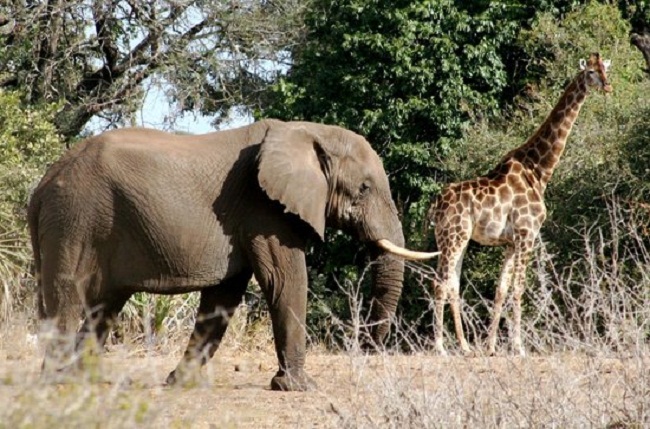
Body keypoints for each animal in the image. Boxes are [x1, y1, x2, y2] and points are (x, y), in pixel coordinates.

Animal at [28, 119, 437, 391]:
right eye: (364, 188)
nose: (366, 348)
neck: (308, 132)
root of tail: (42, 185)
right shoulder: (265, 210)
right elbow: (285, 280)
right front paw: (298, 387)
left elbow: (224, 296)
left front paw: (180, 383)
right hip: (75, 219)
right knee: (68, 298)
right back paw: (55, 383)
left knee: (104, 306)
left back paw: (84, 380)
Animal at [427, 53, 612, 357]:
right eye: (590, 72)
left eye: (605, 69)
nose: (608, 87)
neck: (539, 170)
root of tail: (435, 206)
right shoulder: (527, 234)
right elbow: (519, 288)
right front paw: (518, 346)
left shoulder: (511, 242)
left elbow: (501, 288)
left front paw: (491, 347)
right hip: (453, 236)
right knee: (439, 282)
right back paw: (440, 347)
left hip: (457, 239)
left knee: (453, 282)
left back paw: (465, 346)